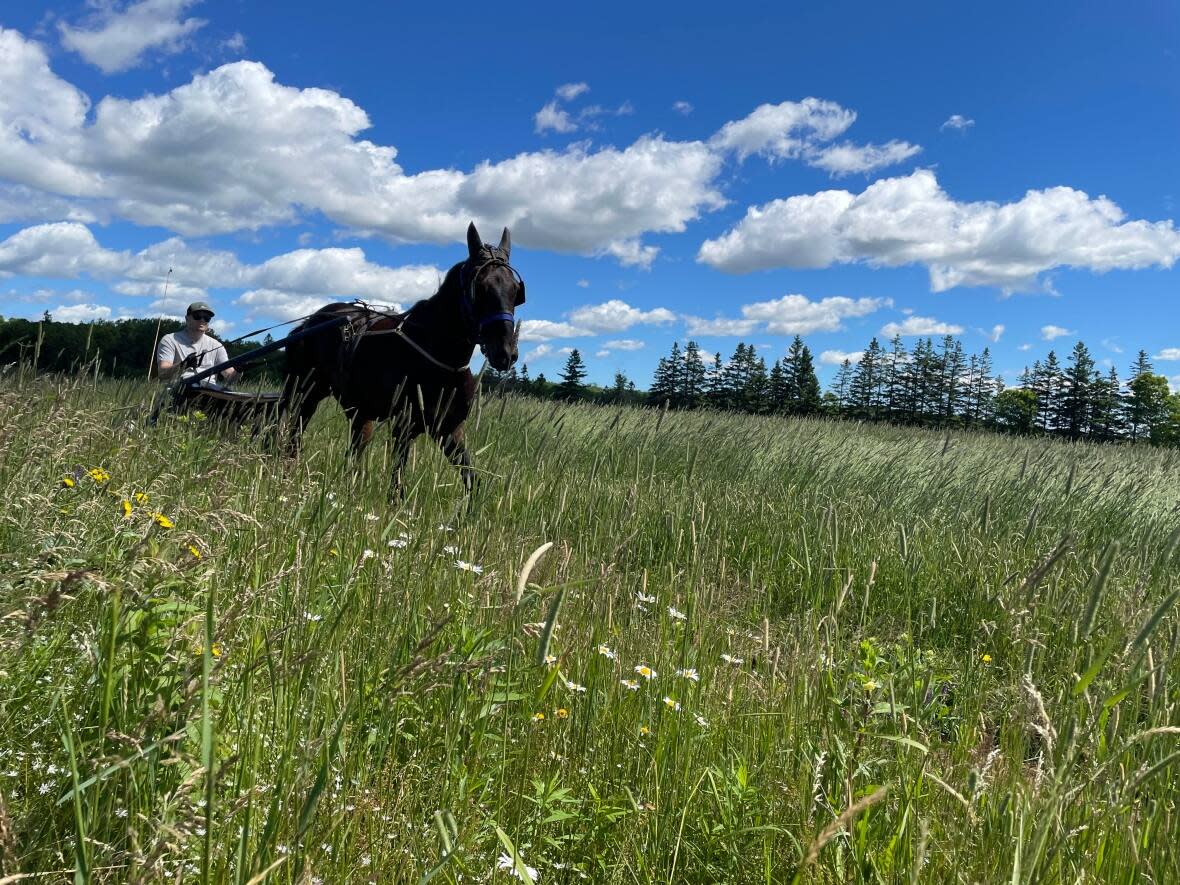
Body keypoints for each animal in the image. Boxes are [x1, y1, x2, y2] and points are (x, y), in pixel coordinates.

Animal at [278, 221, 523, 495]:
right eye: (480, 288)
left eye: (515, 290)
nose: (505, 352)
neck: (436, 353)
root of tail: (310, 322)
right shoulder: (405, 426)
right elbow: (397, 487)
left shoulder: (450, 428)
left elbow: (471, 479)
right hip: (305, 393)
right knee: (294, 437)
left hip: (357, 408)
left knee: (354, 448)